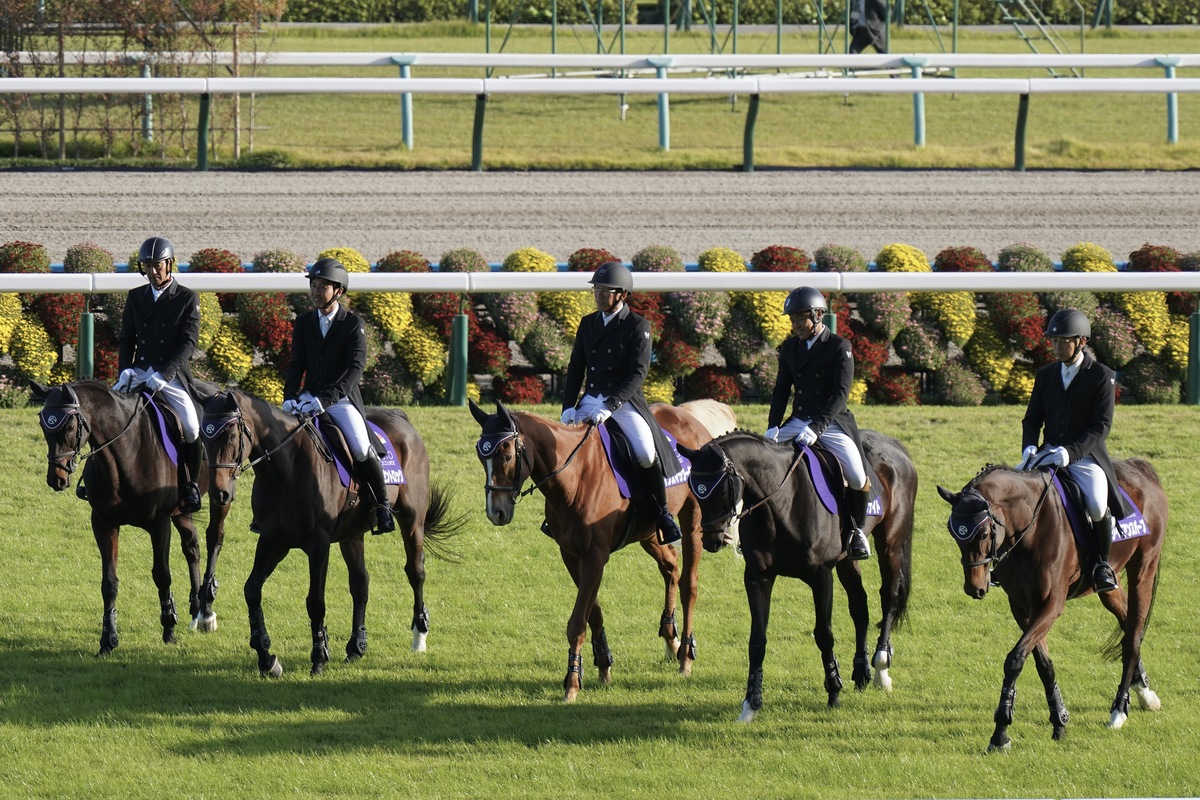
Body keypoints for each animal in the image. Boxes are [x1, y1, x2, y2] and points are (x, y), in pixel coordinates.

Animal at [31, 383, 228, 657]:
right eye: (42, 422)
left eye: (69, 426)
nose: (56, 479)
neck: (124, 455)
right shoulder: (104, 523)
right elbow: (109, 583)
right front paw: (108, 640)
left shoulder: (159, 524)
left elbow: (162, 575)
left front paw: (169, 629)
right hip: (181, 512)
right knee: (192, 546)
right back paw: (196, 606)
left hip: (221, 492)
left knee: (213, 540)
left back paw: (206, 611)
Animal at [201, 391, 463, 681]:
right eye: (204, 436)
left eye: (230, 435)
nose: (220, 494)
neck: (285, 469)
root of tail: (401, 418)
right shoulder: (273, 542)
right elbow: (251, 591)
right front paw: (267, 658)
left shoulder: (318, 545)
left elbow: (315, 602)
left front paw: (318, 658)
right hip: (352, 534)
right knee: (360, 582)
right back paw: (356, 646)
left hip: (412, 520)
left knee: (415, 571)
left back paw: (419, 636)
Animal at [465, 398, 729, 700]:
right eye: (480, 456)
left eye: (507, 455)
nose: (496, 513)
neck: (575, 476)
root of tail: (687, 416)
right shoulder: (571, 555)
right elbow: (593, 612)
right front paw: (603, 665)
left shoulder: (594, 557)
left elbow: (578, 622)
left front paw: (572, 682)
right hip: (649, 532)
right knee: (671, 565)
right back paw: (670, 637)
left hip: (694, 521)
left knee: (689, 584)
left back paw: (685, 654)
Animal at [676, 431, 916, 724]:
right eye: (694, 487)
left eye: (722, 488)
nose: (712, 540)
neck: (779, 503)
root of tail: (894, 444)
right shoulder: (757, 578)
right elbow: (757, 641)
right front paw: (750, 705)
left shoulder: (821, 577)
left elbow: (824, 634)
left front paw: (833, 691)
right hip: (847, 560)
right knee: (860, 606)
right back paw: (861, 673)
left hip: (891, 541)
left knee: (889, 596)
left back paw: (881, 668)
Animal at [931, 460, 1166, 753]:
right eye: (954, 534)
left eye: (984, 532)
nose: (975, 588)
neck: (1029, 528)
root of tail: (1142, 469)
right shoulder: (1021, 606)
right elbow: (1043, 664)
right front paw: (1059, 721)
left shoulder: (1051, 605)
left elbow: (1015, 660)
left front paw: (1000, 733)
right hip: (1110, 586)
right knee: (1128, 624)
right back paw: (1144, 693)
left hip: (1143, 569)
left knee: (1133, 635)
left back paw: (1119, 711)